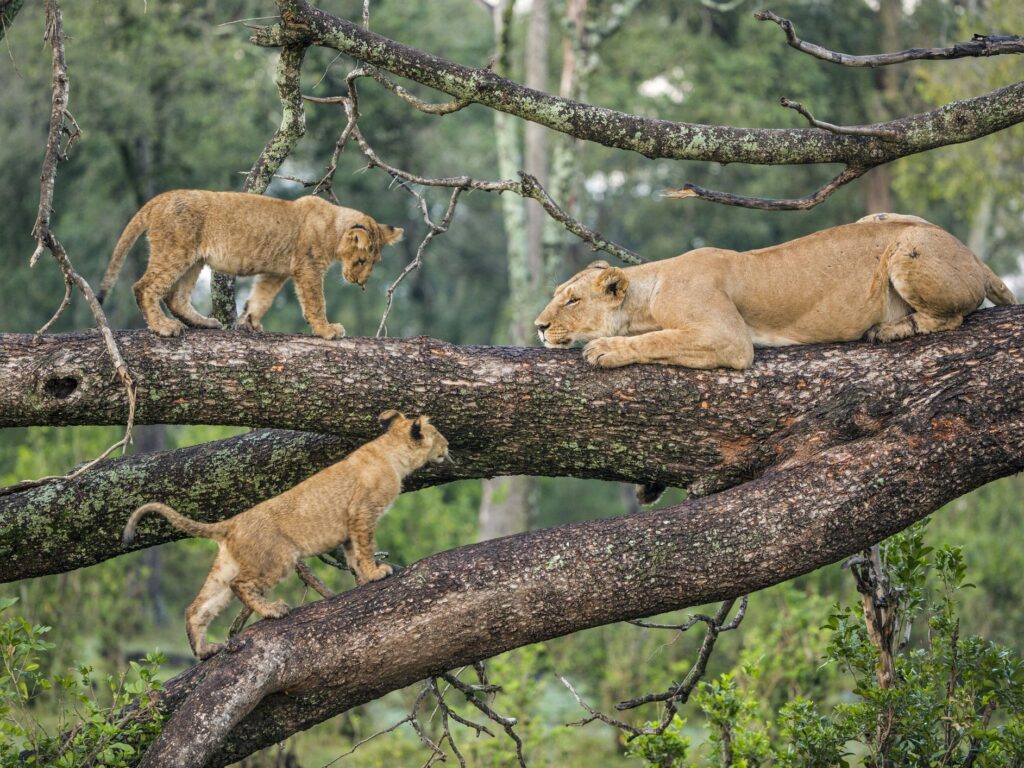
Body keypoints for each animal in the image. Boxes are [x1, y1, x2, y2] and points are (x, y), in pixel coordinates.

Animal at [97, 190, 404, 339]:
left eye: (374, 262)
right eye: (361, 260)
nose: (361, 284)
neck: (333, 225)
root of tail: (161, 197)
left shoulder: (276, 273)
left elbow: (261, 298)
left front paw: (250, 322)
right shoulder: (308, 267)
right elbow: (316, 302)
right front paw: (326, 330)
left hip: (194, 259)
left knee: (176, 297)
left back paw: (204, 322)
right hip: (175, 251)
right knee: (144, 287)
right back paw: (163, 327)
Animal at [122, 410, 450, 659]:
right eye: (437, 433)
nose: (449, 447)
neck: (391, 451)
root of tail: (232, 522)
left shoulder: (348, 526)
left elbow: (353, 555)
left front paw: (363, 578)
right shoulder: (363, 512)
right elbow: (366, 548)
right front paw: (376, 573)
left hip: (226, 567)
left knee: (197, 607)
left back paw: (205, 650)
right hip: (279, 558)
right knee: (241, 585)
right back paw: (272, 611)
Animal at [535, 213, 1016, 370]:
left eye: (572, 300)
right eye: (558, 293)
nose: (538, 326)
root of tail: (974, 256)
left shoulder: (728, 337)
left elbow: (659, 339)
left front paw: (605, 349)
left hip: (907, 248)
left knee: (950, 317)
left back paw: (891, 329)